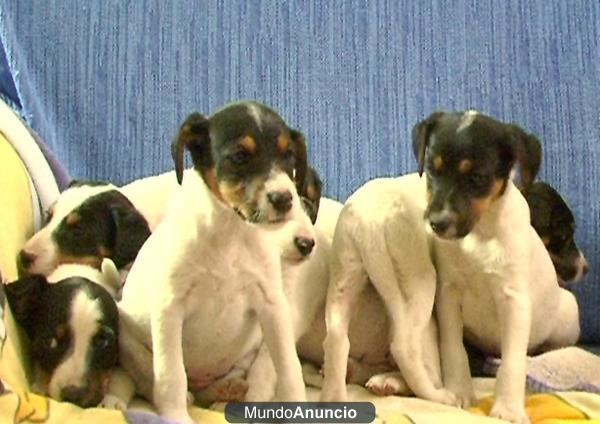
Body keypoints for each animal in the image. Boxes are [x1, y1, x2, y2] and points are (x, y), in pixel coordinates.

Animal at [116, 101, 314, 422]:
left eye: (289, 156)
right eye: (240, 156)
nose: (285, 199)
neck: (230, 234)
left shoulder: (272, 307)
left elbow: (289, 368)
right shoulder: (169, 307)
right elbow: (171, 375)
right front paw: (176, 416)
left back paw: (226, 391)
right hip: (127, 336)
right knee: (153, 377)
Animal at [414, 110, 580, 424]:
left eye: (477, 177)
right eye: (431, 169)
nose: (436, 224)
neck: (480, 235)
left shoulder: (514, 301)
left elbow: (512, 363)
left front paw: (509, 409)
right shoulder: (449, 295)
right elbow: (453, 349)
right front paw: (459, 391)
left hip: (567, 313)